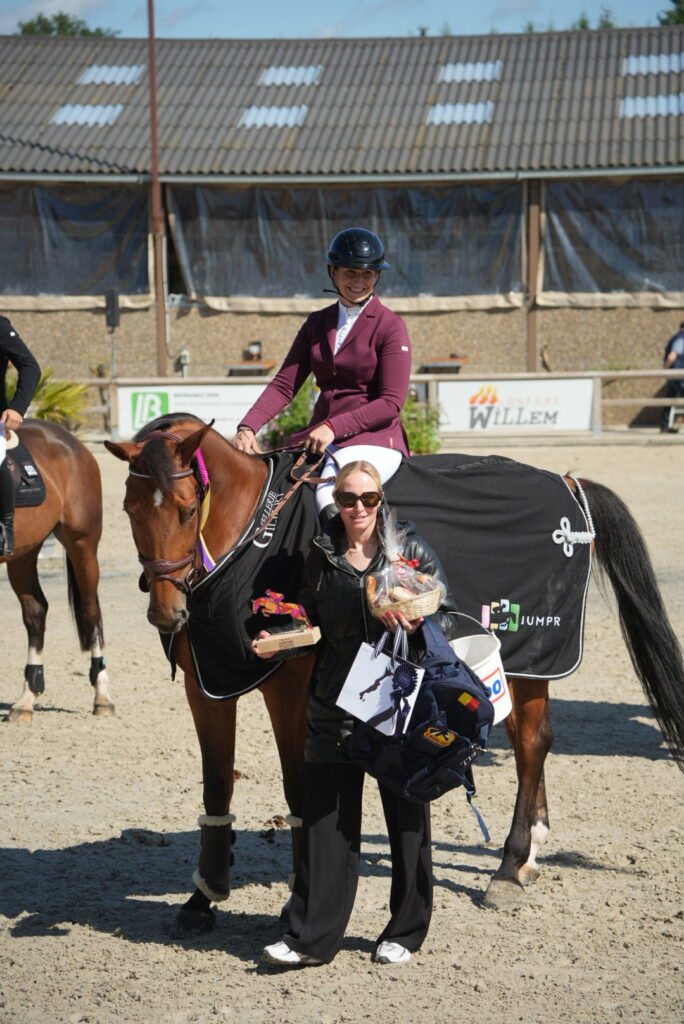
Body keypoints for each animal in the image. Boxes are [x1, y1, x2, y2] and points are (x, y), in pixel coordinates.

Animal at [2, 420, 114, 723]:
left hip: (82, 544)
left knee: (90, 612)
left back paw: (102, 697)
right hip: (23, 553)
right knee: (36, 612)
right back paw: (27, 698)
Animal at [105, 413, 684, 932]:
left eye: (186, 511)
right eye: (129, 508)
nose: (167, 614)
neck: (250, 535)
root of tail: (567, 483)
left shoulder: (288, 685)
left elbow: (296, 785)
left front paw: (297, 895)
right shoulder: (208, 683)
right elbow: (217, 783)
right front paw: (203, 897)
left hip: (536, 657)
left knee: (533, 743)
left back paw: (510, 866)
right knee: (527, 743)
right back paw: (530, 854)